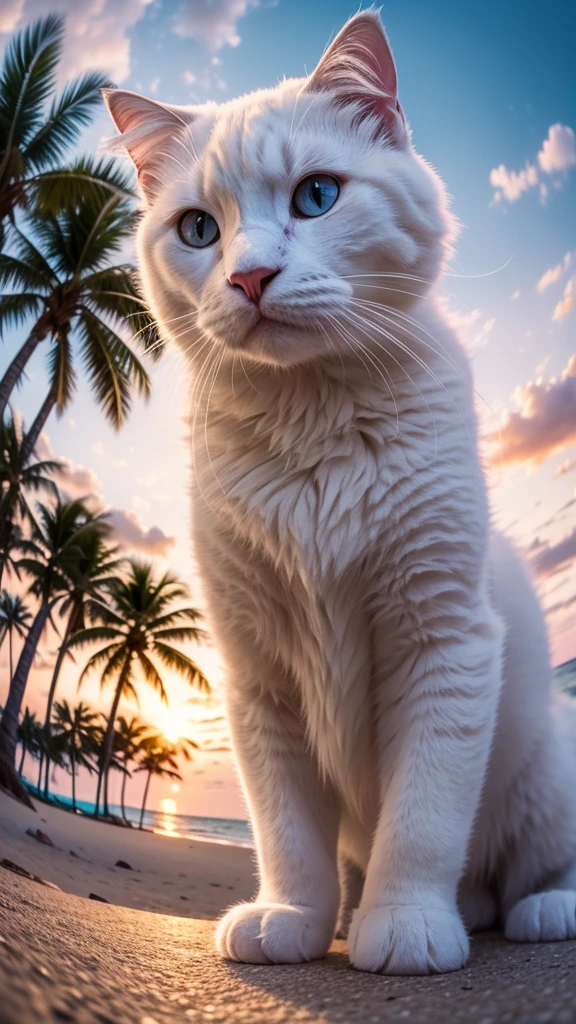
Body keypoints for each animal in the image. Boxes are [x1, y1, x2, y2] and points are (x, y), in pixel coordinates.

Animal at [105, 14, 573, 974]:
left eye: (317, 196)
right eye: (198, 229)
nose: (248, 278)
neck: (311, 426)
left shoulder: (444, 642)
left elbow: (422, 819)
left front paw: (406, 923)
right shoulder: (259, 677)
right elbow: (288, 833)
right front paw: (294, 917)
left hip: (550, 774)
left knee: (540, 867)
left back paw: (539, 908)